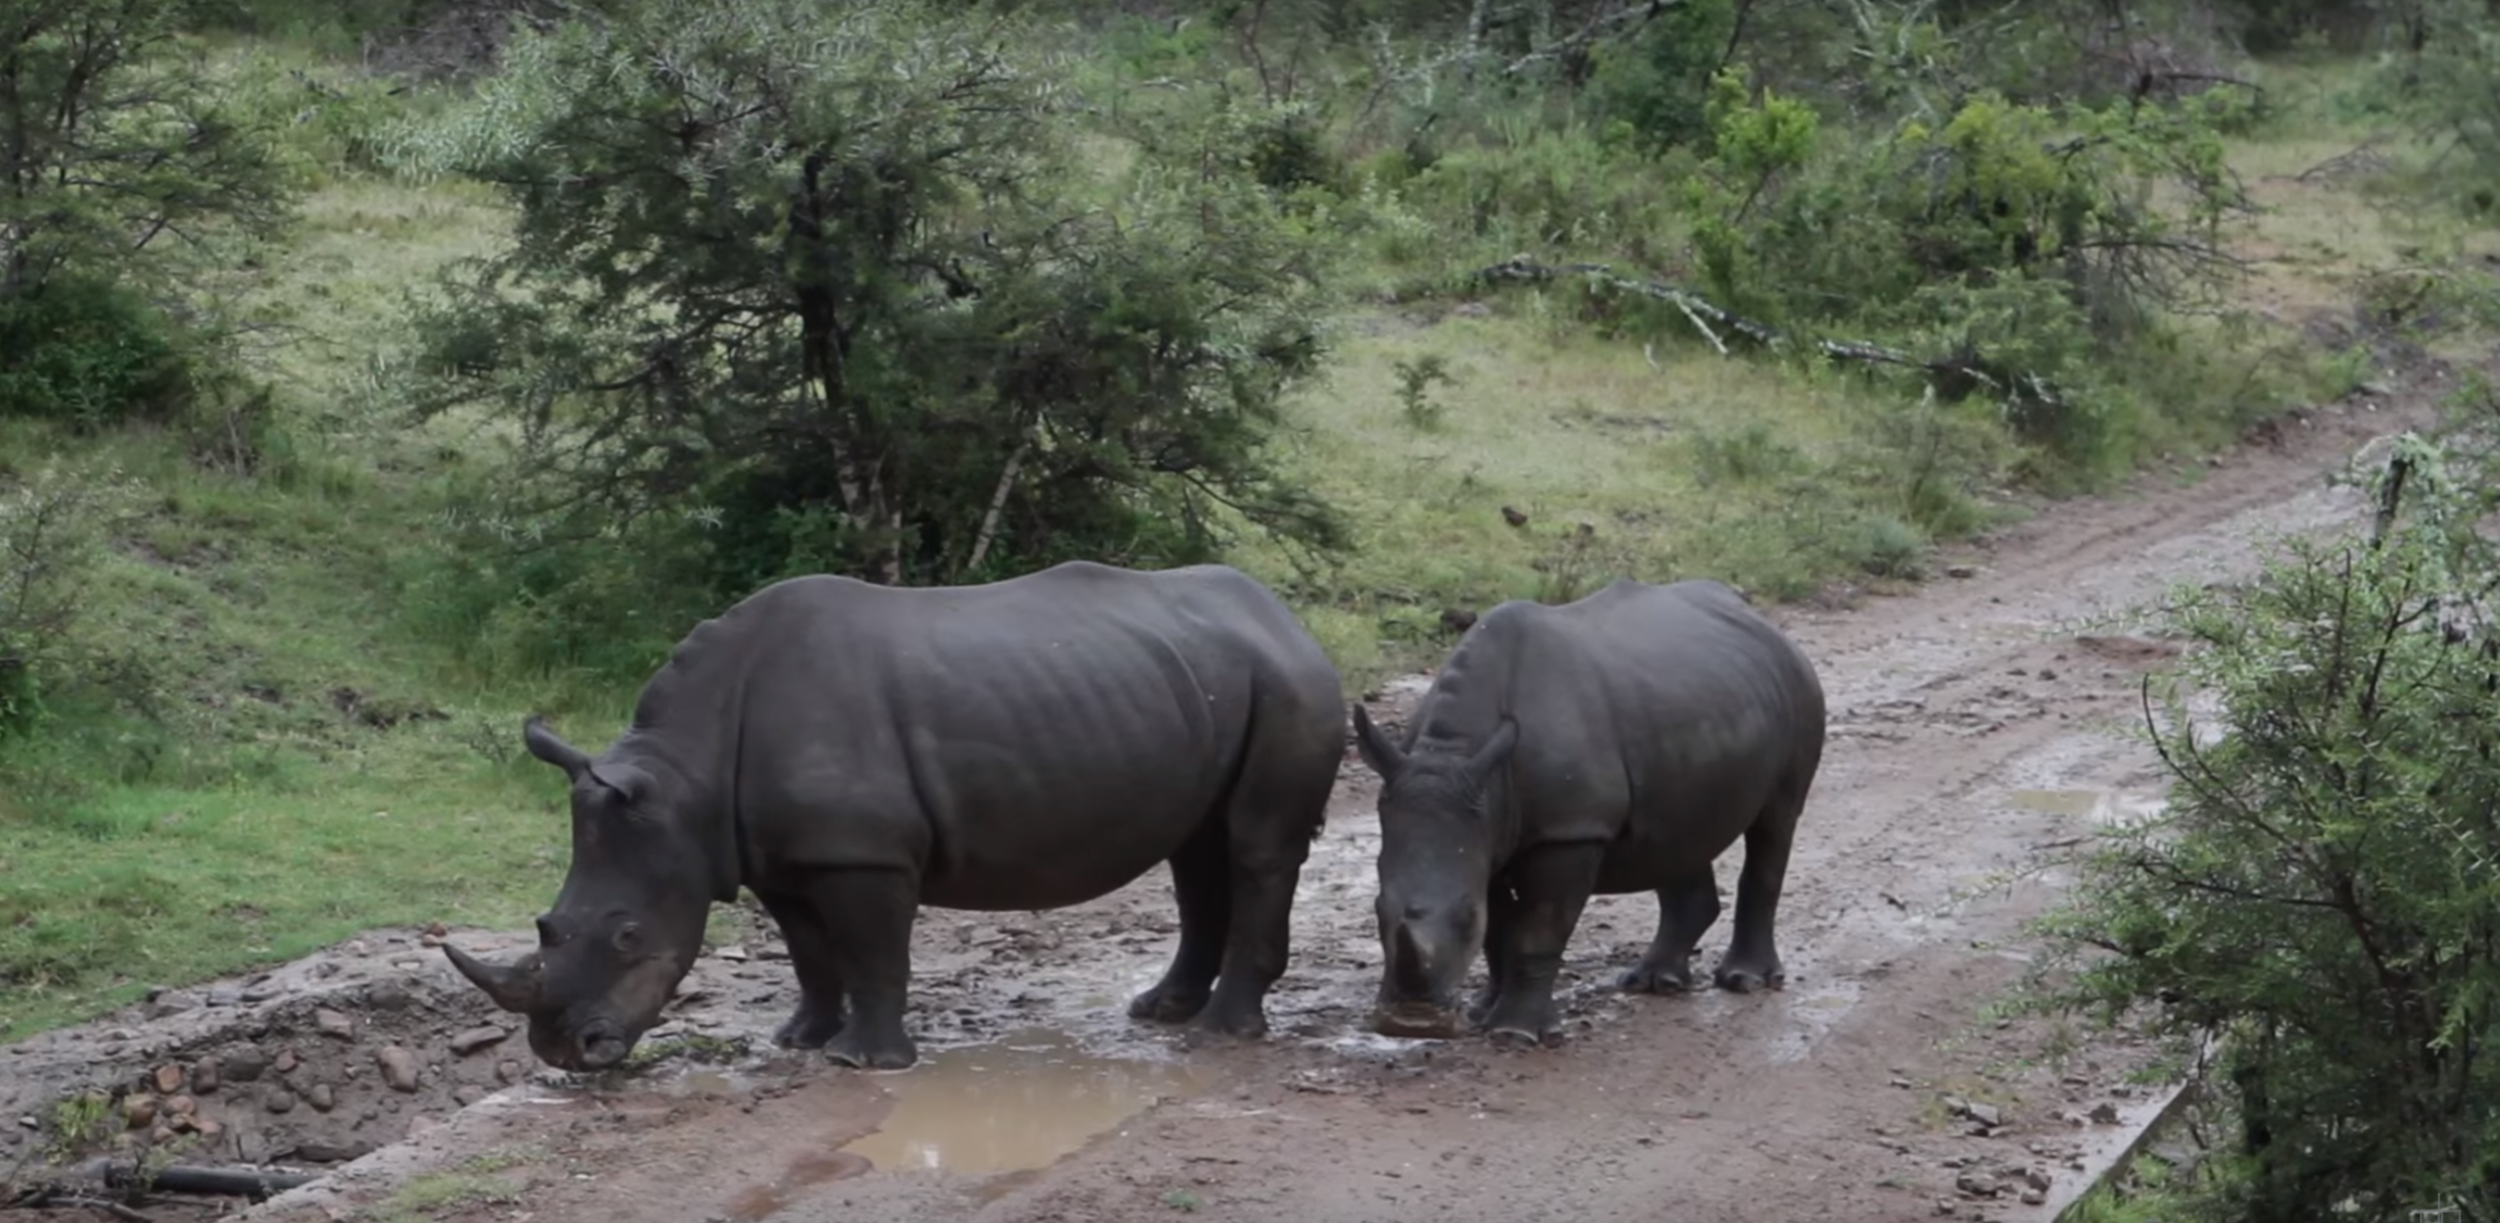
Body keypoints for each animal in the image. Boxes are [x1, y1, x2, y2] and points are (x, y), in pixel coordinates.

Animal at [440, 561, 1348, 1071]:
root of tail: (1286, 615)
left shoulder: (860, 852)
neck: (683, 779)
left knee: (1256, 847)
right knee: (1196, 851)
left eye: (628, 935)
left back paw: (1220, 1035)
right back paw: (1161, 1012)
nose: (568, 1054)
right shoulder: (781, 856)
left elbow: (872, 953)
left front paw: (863, 1062)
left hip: (1288, 682)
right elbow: (810, 953)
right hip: (1197, 681)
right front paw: (798, 1039)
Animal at [1349, 577, 1825, 1045]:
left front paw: (1515, 1033)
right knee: (1678, 837)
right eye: (1377, 909)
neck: (1452, 753)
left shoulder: (1569, 832)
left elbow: (1537, 931)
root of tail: (1764, 624)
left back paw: (1745, 981)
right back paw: (1654, 982)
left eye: (1468, 918)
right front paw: (1484, 1012)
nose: (1411, 1025)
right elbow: (1499, 931)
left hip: (1799, 689)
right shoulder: (1490, 830)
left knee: (1776, 821)